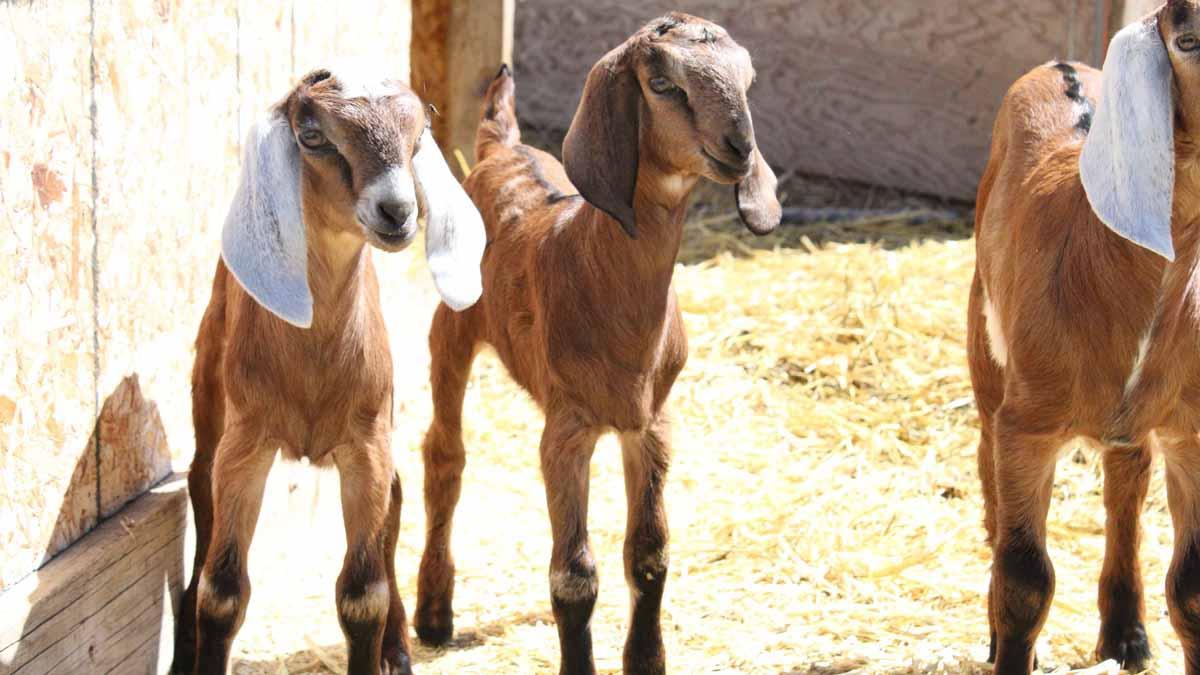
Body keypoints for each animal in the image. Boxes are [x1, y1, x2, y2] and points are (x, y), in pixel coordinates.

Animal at [170, 66, 487, 672]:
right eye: (313, 135)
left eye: (419, 132)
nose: (397, 212)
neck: (314, 363)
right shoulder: (246, 445)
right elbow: (221, 593)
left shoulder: (365, 446)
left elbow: (363, 594)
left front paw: (385, 646)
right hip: (210, 412)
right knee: (199, 493)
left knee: (395, 506)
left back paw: (398, 649)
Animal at [412, 14, 782, 672]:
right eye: (664, 84)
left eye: (747, 79)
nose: (740, 147)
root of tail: (501, 147)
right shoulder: (567, 430)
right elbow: (573, 575)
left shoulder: (651, 423)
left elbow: (650, 555)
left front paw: (647, 659)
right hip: (451, 329)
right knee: (445, 456)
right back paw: (432, 616)